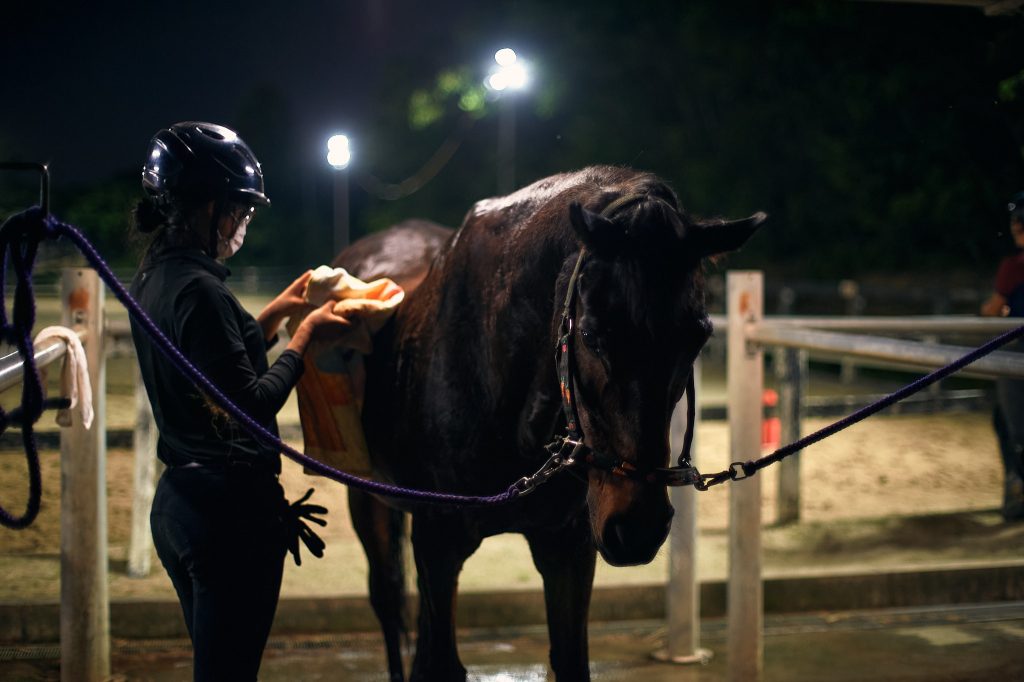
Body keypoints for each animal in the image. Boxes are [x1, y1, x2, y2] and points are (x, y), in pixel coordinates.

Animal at [330, 166, 765, 681]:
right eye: (591, 335)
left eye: (698, 337)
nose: (638, 527)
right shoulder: (438, 543)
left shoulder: (568, 546)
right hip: (366, 497)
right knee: (389, 600)